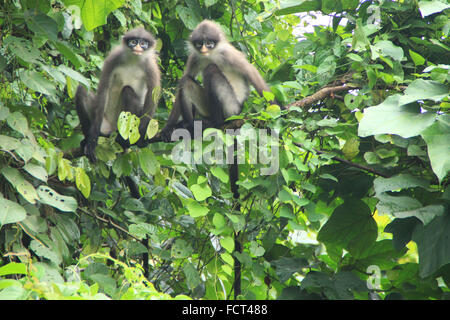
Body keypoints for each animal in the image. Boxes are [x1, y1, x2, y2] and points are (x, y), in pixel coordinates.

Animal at [76, 26, 162, 162]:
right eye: (133, 42)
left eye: (143, 43)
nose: (138, 47)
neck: (133, 60)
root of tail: (111, 129)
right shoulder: (114, 58)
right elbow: (103, 89)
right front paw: (92, 141)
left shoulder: (151, 67)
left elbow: (152, 97)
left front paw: (142, 137)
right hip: (104, 123)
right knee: (81, 90)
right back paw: (89, 139)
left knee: (127, 90)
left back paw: (124, 140)